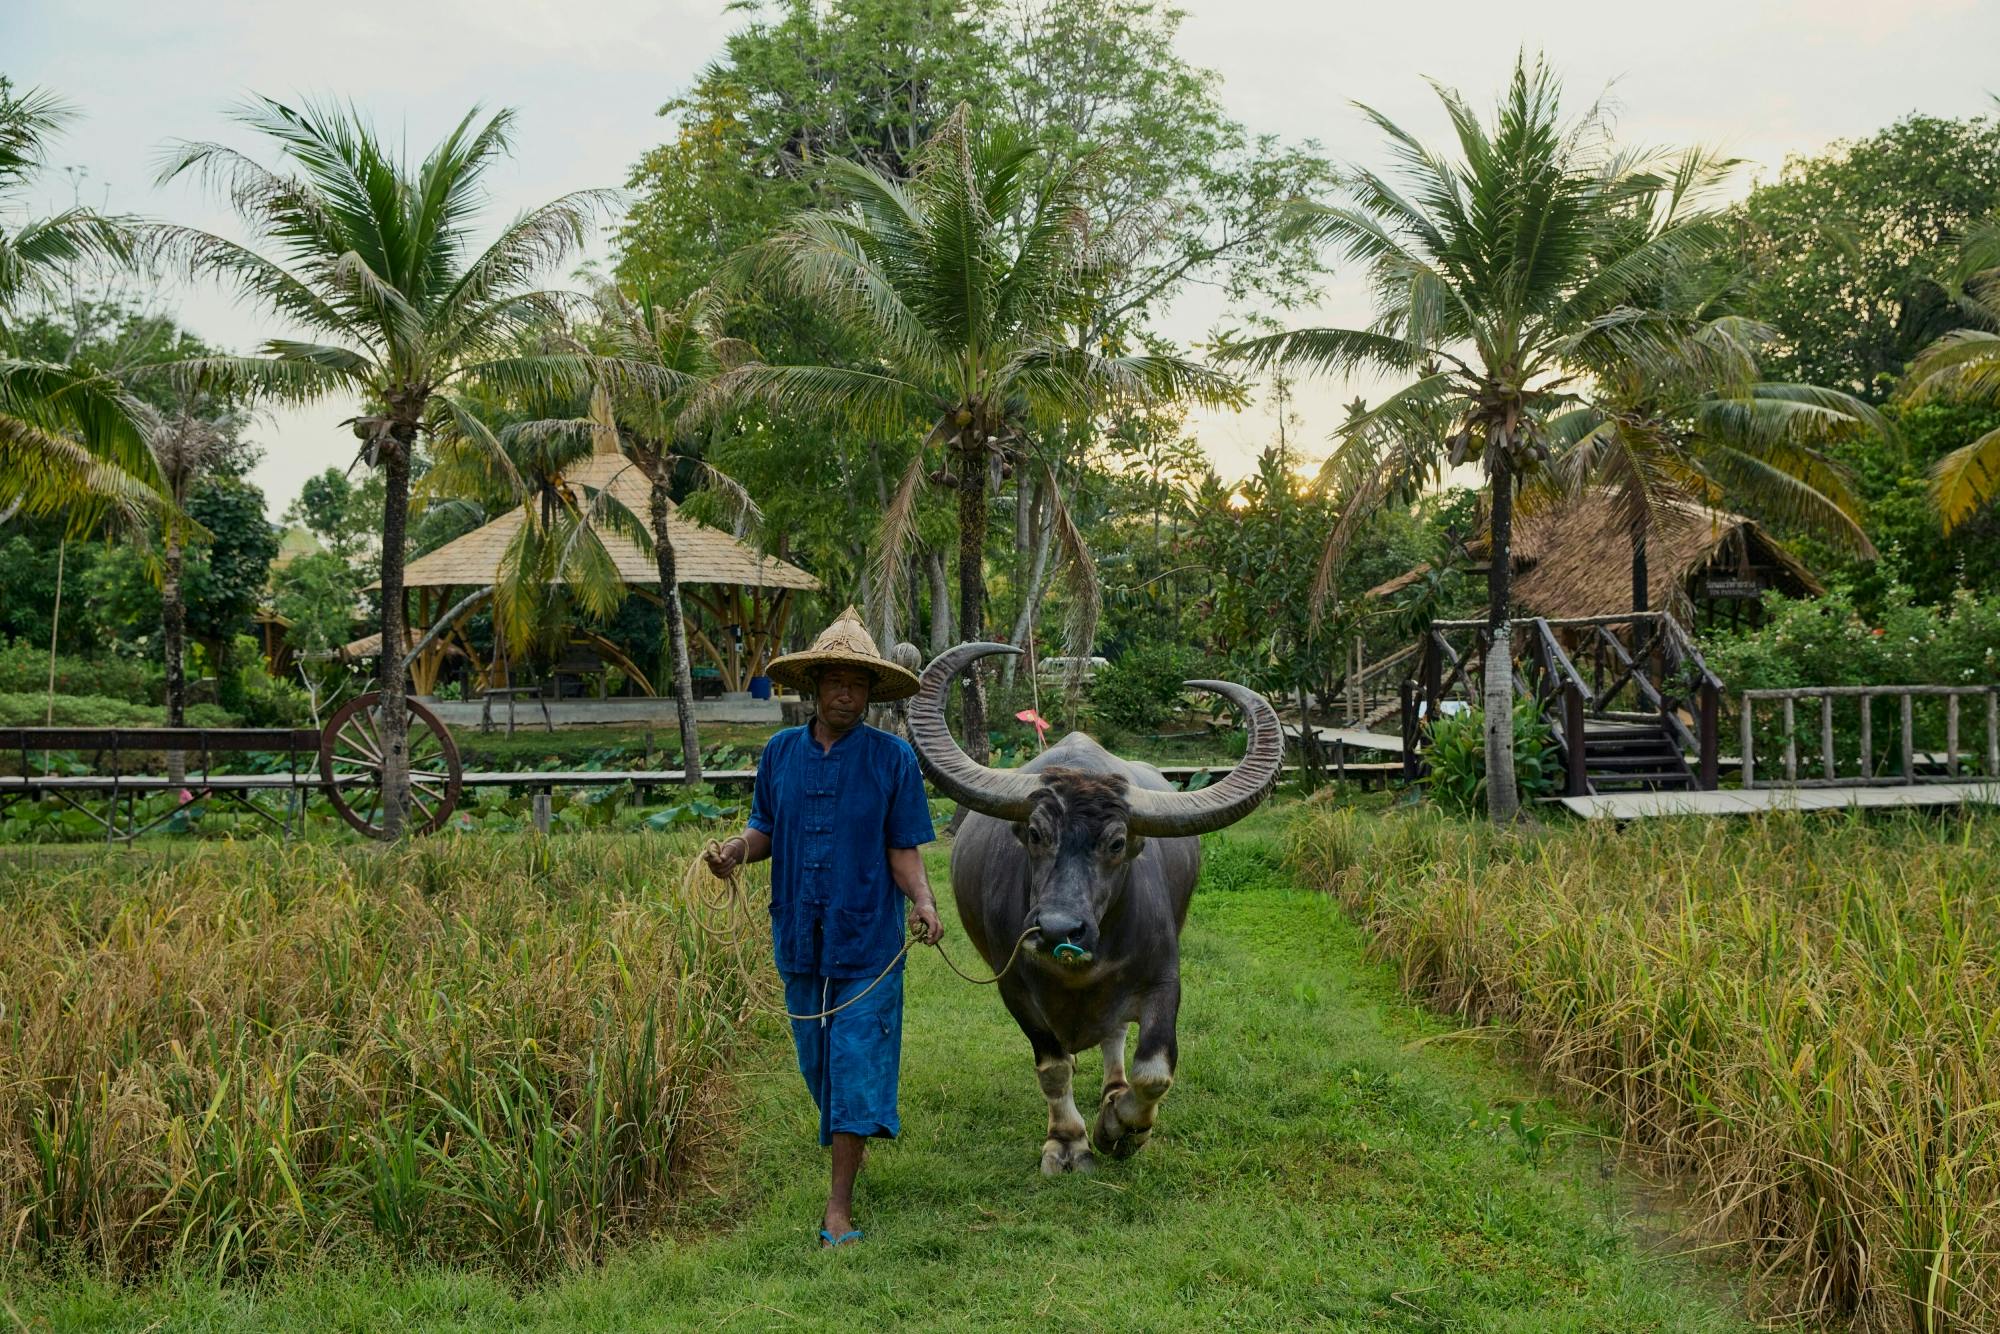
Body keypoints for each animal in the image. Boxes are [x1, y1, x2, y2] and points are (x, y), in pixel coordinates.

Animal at [912, 640, 1280, 1176]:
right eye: (1036, 833)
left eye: (1117, 842)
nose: (1057, 929)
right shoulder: (1013, 989)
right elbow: (1052, 1068)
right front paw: (1069, 1143)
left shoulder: (1163, 979)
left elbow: (1153, 1070)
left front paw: (1120, 1127)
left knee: (1115, 1036)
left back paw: (1113, 1092)